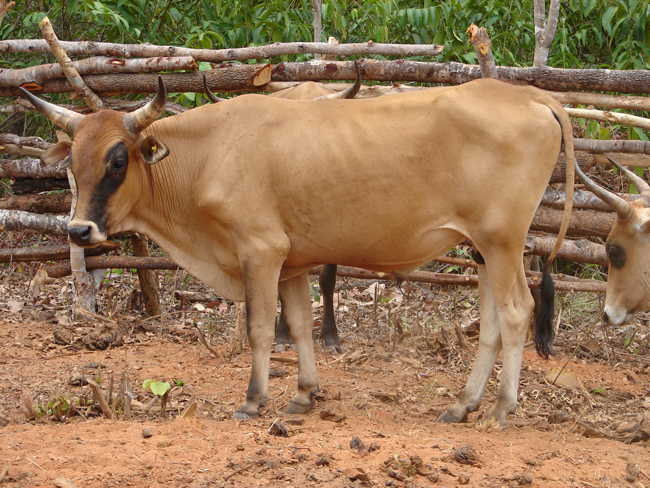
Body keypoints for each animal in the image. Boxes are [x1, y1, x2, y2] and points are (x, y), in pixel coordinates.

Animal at [21, 76, 572, 424]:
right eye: (72, 161)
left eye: (117, 160)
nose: (78, 230)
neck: (208, 154)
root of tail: (529, 94)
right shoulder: (291, 262)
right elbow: (301, 325)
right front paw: (305, 394)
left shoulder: (259, 251)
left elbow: (261, 329)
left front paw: (253, 401)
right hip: (482, 250)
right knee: (493, 323)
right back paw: (463, 405)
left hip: (502, 243)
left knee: (517, 312)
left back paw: (501, 409)